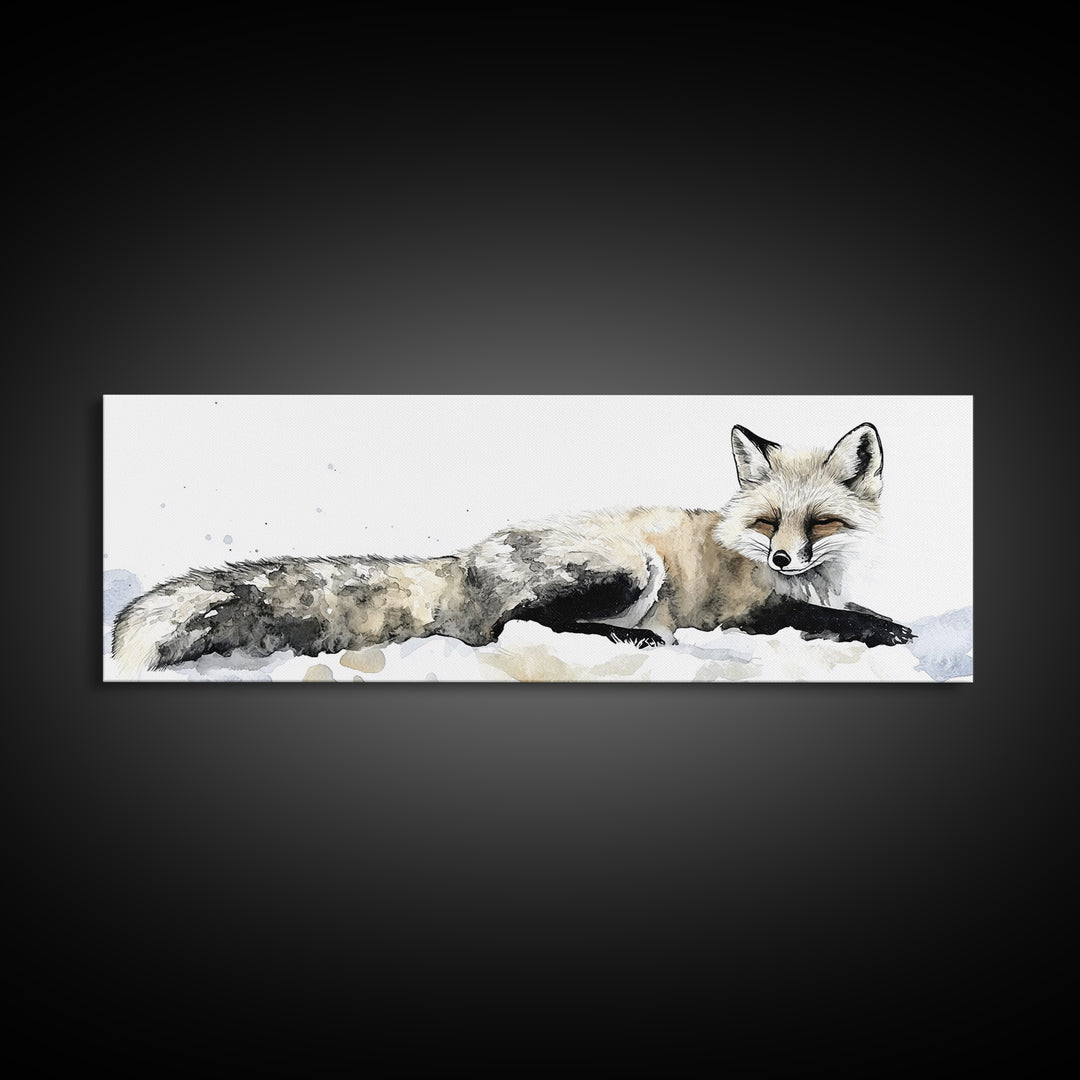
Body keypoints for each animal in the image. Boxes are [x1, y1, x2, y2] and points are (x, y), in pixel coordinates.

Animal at [111, 422, 914, 673]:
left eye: (819, 524)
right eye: (769, 522)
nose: (781, 559)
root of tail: (465, 559)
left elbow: (852, 610)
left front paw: (883, 620)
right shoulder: (745, 613)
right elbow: (829, 620)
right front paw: (886, 632)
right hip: (634, 568)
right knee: (508, 626)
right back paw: (632, 641)